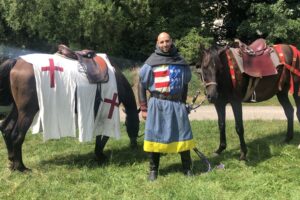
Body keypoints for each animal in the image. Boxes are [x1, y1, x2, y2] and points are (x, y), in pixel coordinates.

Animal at [0, 55, 140, 171]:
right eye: (136, 125)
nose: (134, 144)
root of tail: (16, 61)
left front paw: (98, 153)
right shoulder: (107, 113)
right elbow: (103, 135)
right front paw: (100, 155)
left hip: (17, 109)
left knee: (6, 129)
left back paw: (12, 161)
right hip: (27, 112)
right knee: (17, 135)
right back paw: (20, 167)